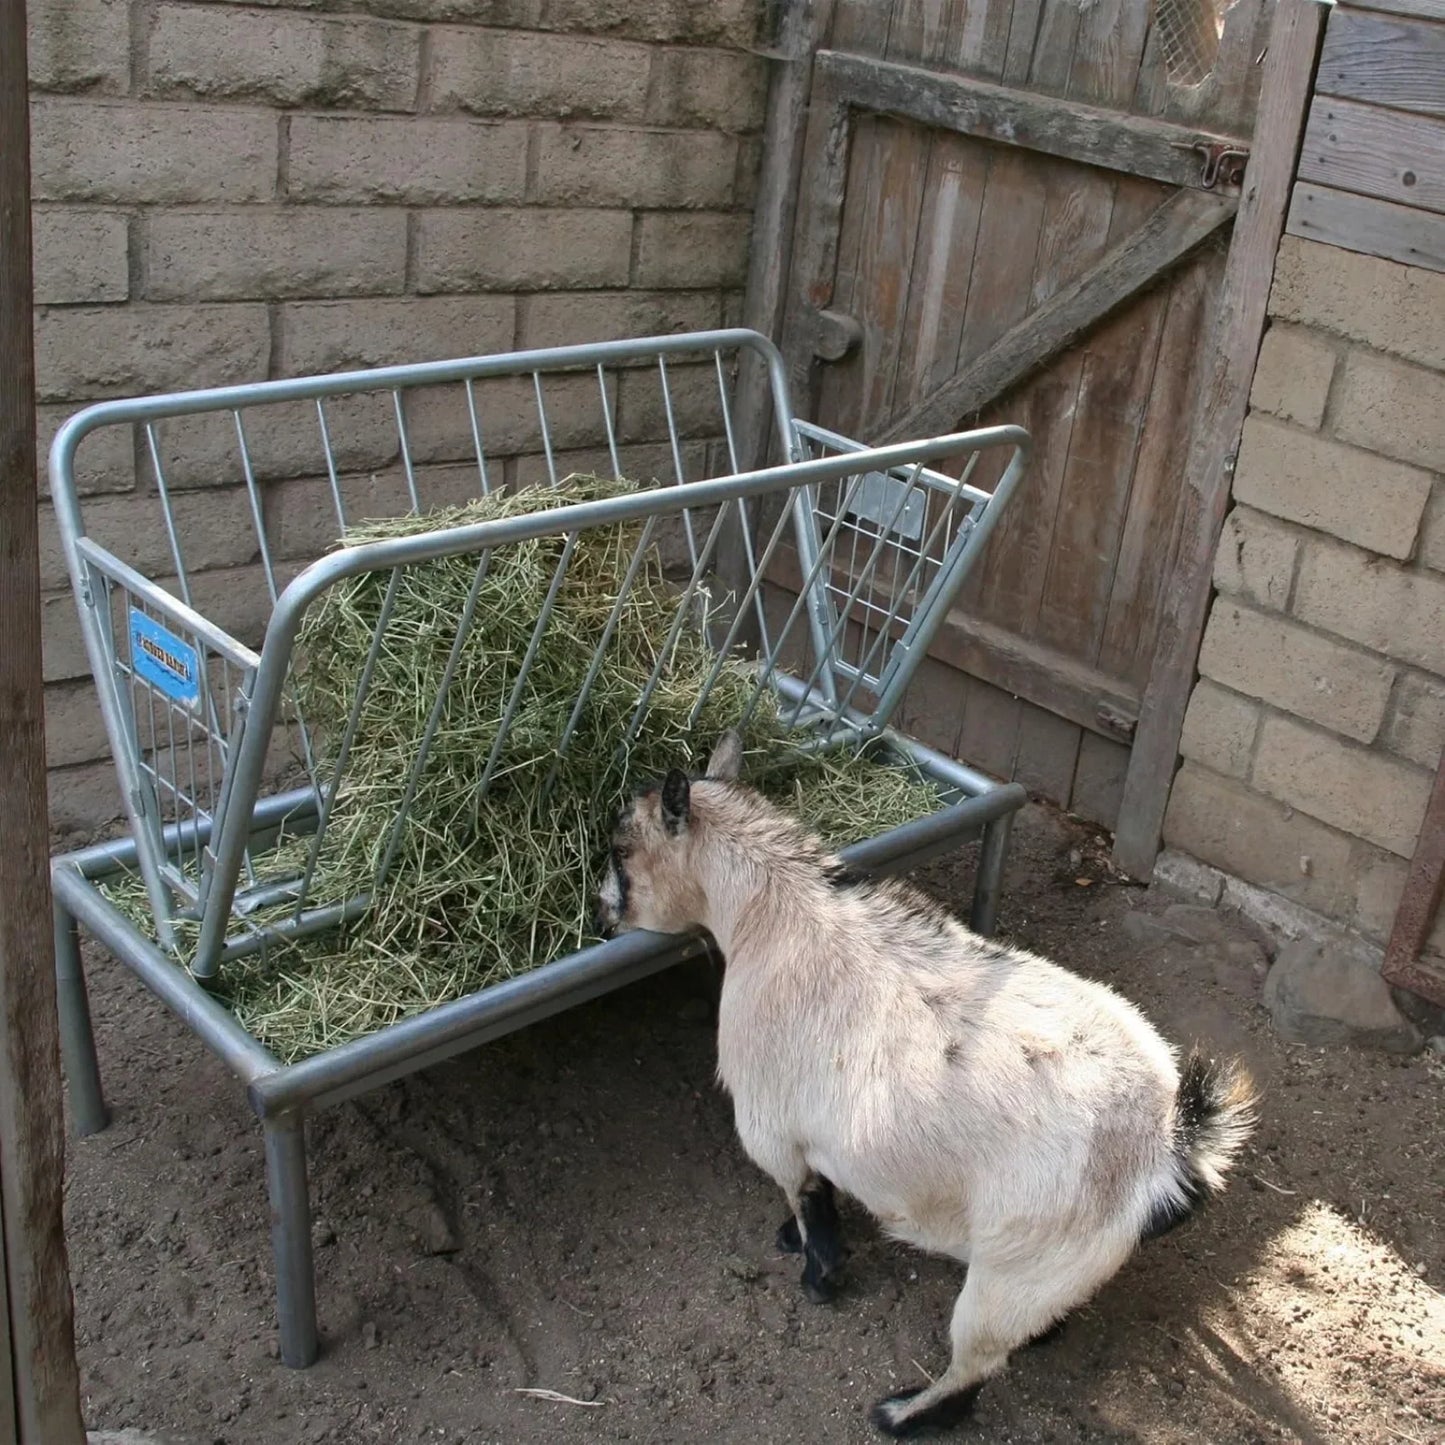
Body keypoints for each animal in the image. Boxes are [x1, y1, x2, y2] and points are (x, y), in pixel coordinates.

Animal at [594, 730, 1258, 1437]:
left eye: (621, 850)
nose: (603, 914)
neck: (774, 911)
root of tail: (1170, 1141)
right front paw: (791, 1241)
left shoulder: (770, 1127)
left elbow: (809, 1200)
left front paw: (817, 1276)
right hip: (1049, 1270)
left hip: (1014, 1268)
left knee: (974, 1368)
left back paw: (902, 1414)